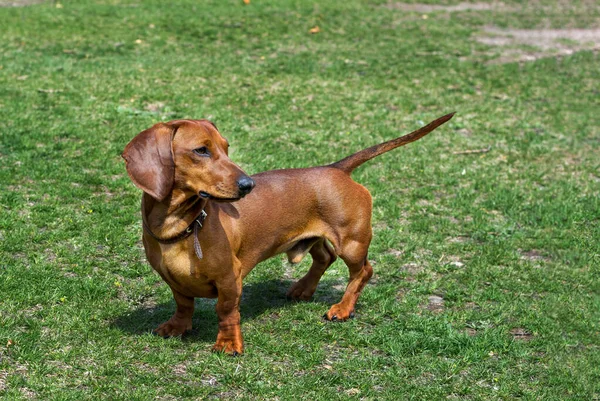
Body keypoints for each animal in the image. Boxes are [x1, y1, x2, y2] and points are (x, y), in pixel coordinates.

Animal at [124, 112, 454, 354]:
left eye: (226, 148)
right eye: (201, 150)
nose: (248, 185)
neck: (183, 225)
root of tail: (337, 168)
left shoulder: (230, 279)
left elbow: (226, 312)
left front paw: (229, 344)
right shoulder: (174, 281)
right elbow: (183, 305)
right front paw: (176, 327)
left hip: (352, 243)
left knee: (363, 272)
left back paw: (342, 308)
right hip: (315, 239)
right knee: (324, 258)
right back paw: (303, 289)